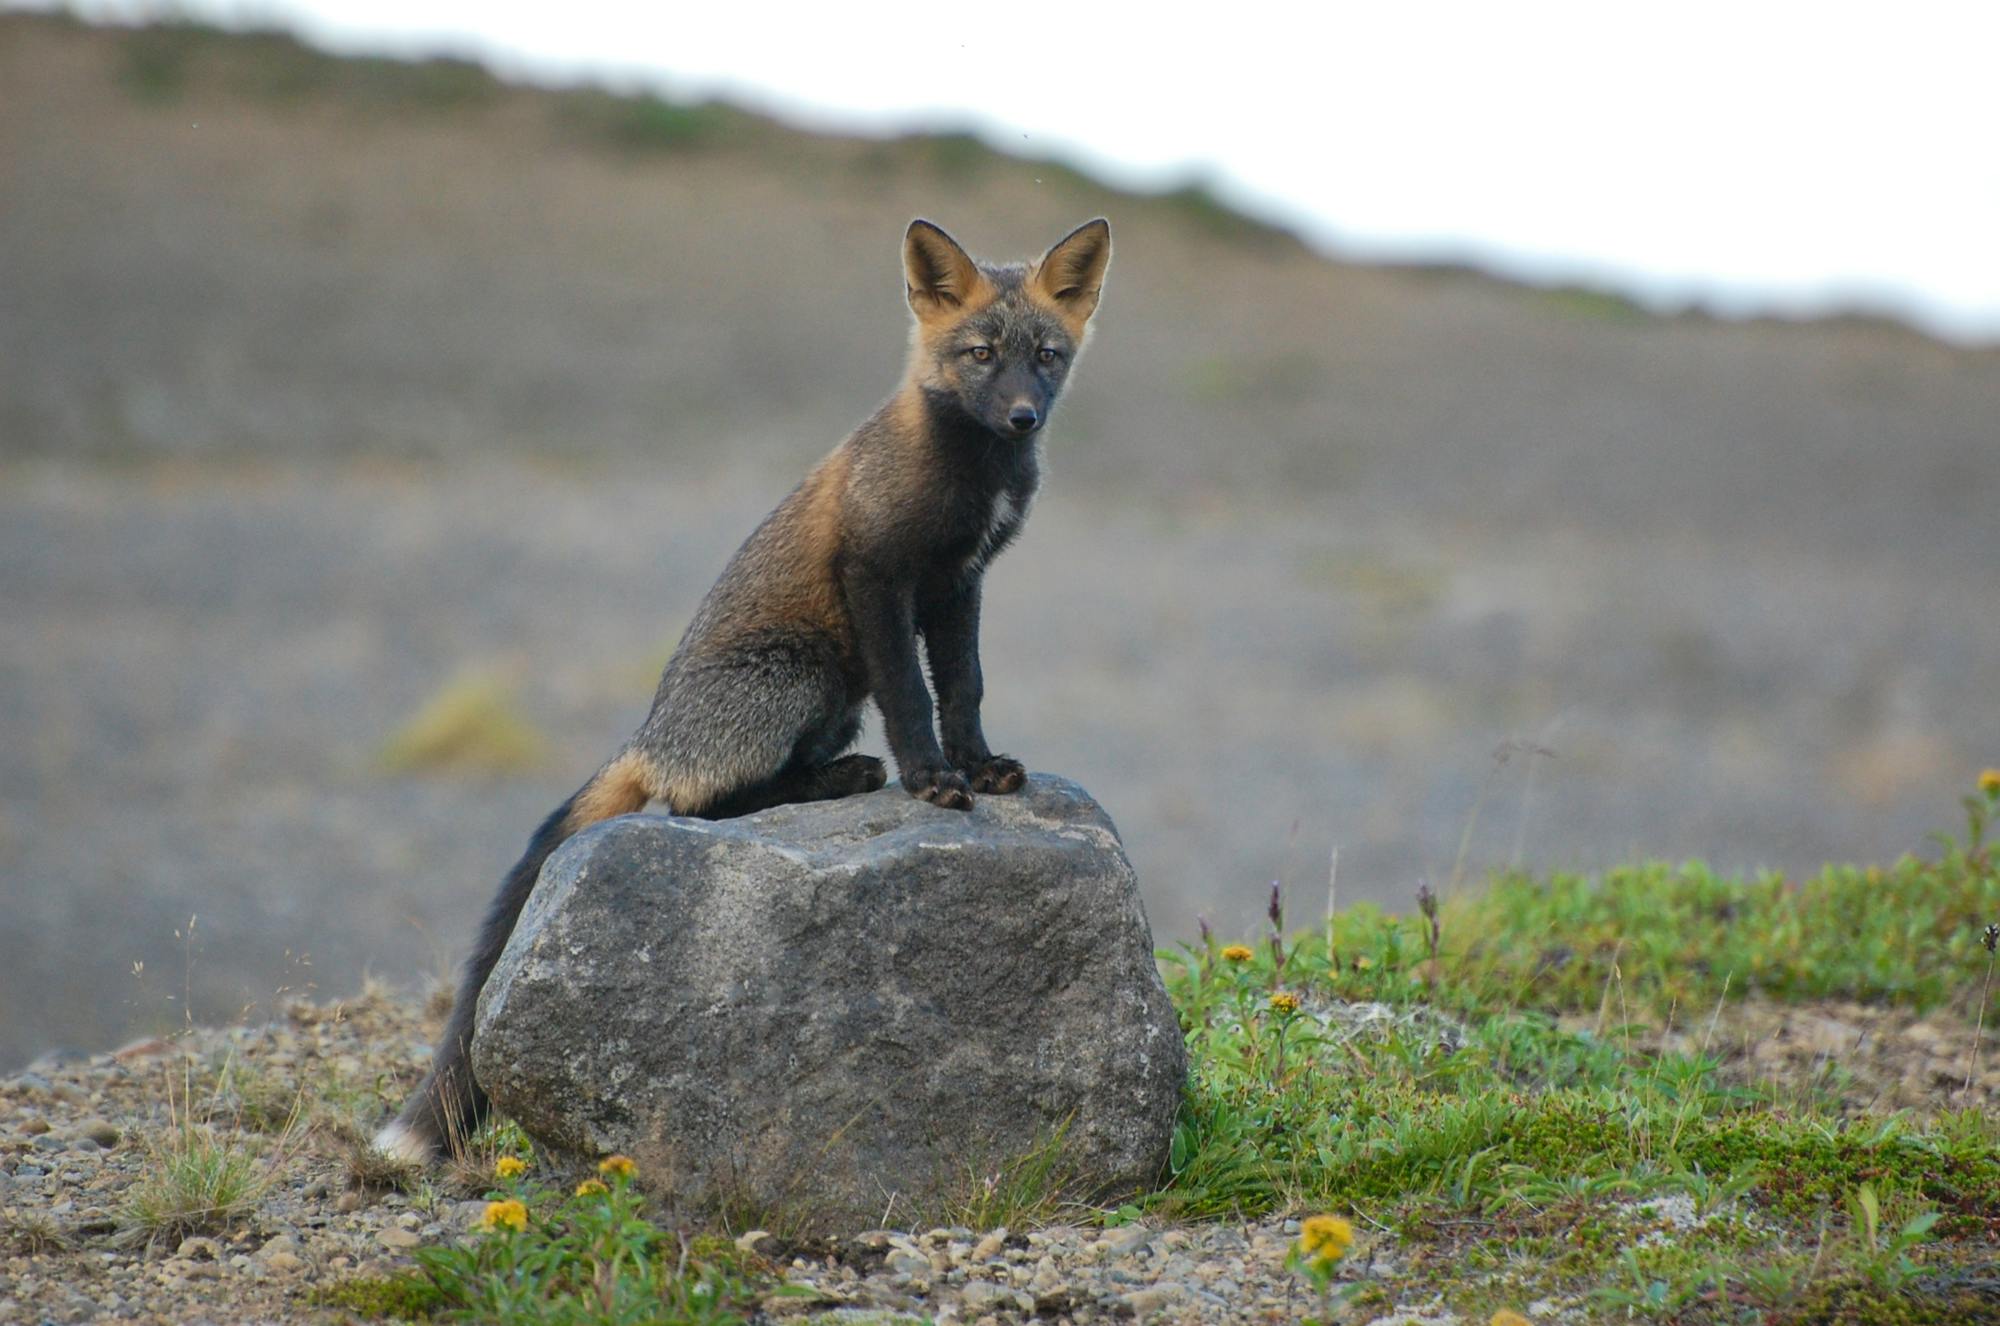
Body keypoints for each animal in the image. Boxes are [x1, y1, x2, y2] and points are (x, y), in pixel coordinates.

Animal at [372, 217, 1113, 1163]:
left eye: (1046, 356)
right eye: (981, 354)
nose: (1023, 414)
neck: (972, 477)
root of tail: (648, 734)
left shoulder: (960, 584)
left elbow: (966, 689)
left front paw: (979, 766)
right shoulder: (878, 575)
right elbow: (915, 699)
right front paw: (931, 779)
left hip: (834, 700)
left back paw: (833, 779)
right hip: (803, 672)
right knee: (705, 804)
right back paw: (837, 782)